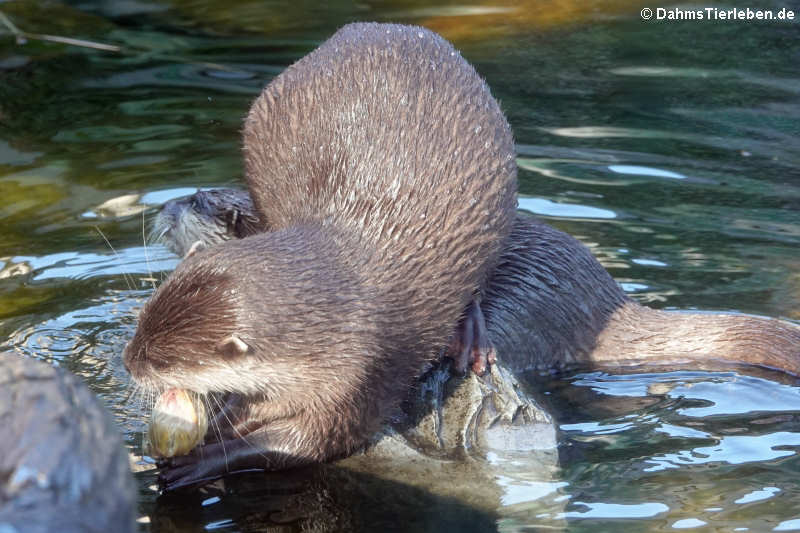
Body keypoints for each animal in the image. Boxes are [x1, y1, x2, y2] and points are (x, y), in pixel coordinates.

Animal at [123, 23, 520, 490]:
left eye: (162, 360)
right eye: (139, 323)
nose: (127, 362)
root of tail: (373, 26)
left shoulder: (361, 375)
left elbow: (306, 443)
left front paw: (202, 459)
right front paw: (222, 419)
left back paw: (471, 338)